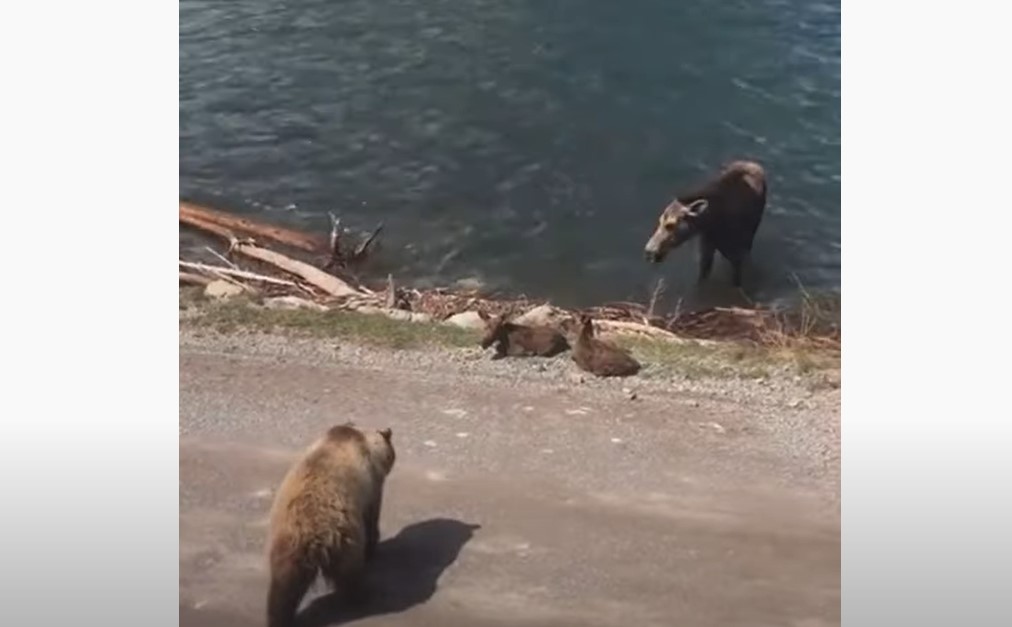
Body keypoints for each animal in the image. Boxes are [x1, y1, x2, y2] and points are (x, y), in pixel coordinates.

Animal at [643, 158, 769, 287]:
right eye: (660, 221)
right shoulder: (707, 248)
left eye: (670, 225)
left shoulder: (736, 254)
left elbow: (737, 282)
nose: (649, 250)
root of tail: (753, 163)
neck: (710, 223)